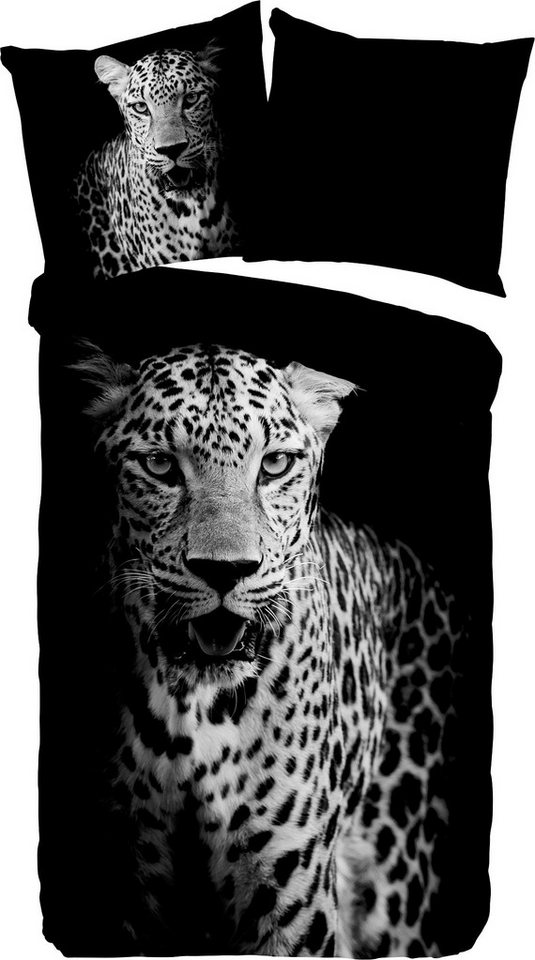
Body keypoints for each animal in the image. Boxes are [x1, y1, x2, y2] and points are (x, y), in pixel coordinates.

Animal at [74, 342, 462, 957]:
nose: (226, 569)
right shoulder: (127, 879)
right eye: (160, 466)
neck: (196, 707)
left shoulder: (290, 890)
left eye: (275, 464)